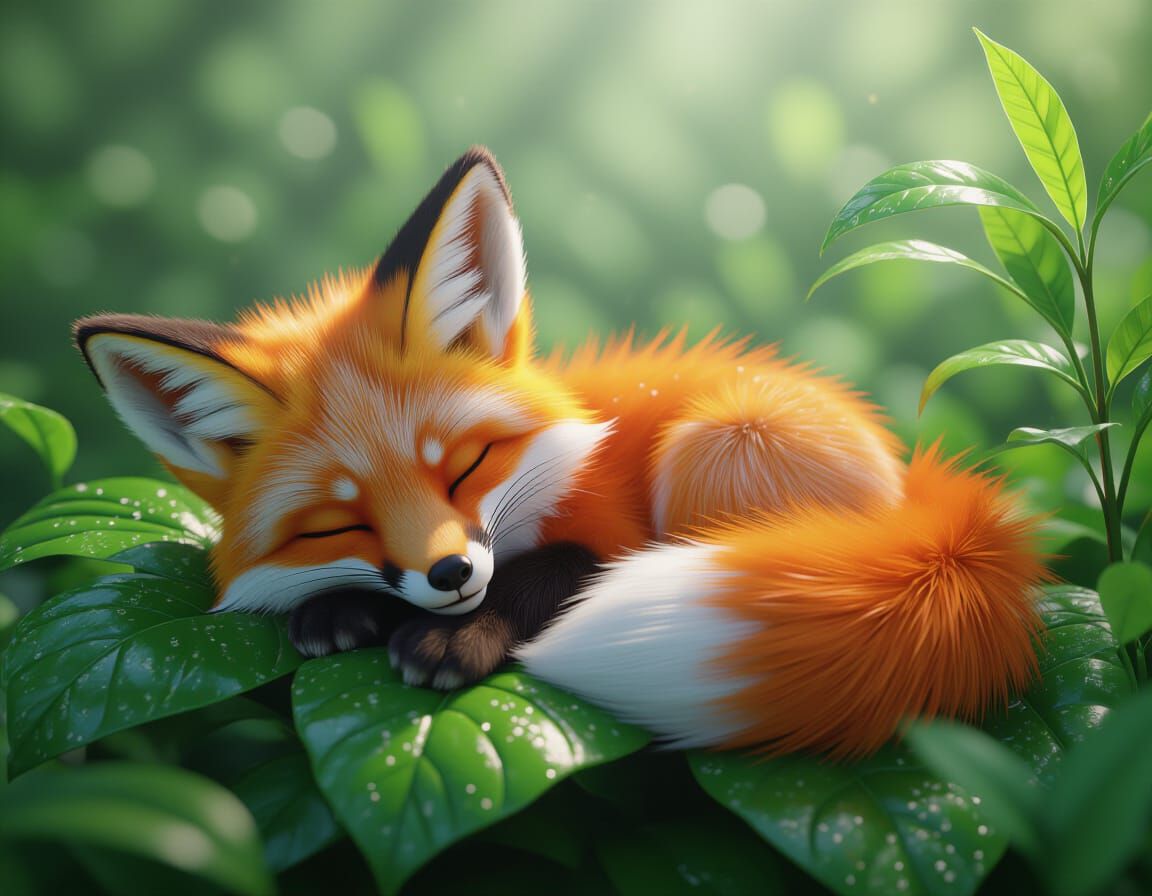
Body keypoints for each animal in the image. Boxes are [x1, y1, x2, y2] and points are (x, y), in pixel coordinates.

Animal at [74, 147, 1047, 758]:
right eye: (336, 524)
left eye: (464, 467)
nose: (449, 576)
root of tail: (924, 501)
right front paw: (338, 610)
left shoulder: (609, 534)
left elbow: (548, 573)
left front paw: (454, 638)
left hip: (720, 445)